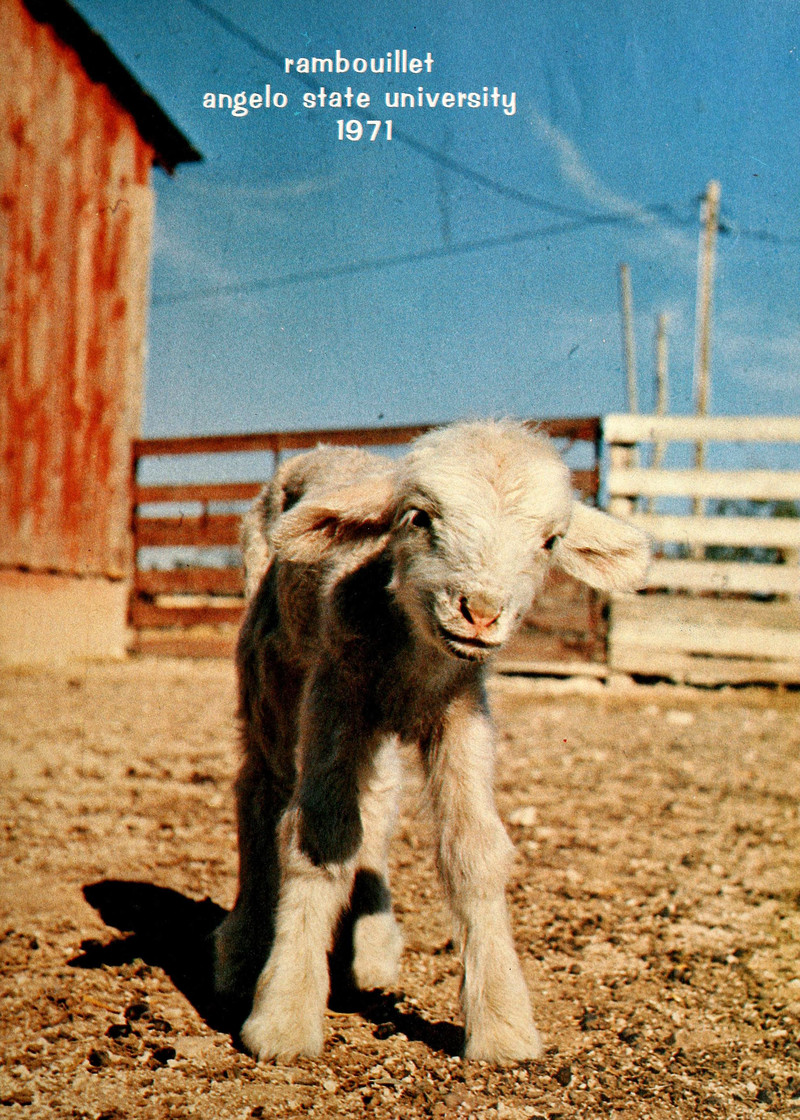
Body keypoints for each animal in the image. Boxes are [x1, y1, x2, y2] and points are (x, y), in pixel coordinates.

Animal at [213, 419, 649, 1064]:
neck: (415, 659)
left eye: (550, 542)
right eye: (419, 518)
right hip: (270, 659)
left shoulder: (463, 709)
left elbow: (473, 846)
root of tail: (328, 451)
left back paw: (371, 949)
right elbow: (320, 836)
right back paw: (243, 952)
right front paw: (283, 1018)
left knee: (376, 801)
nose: (482, 612)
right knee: (262, 784)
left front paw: (502, 1025)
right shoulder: (336, 688)